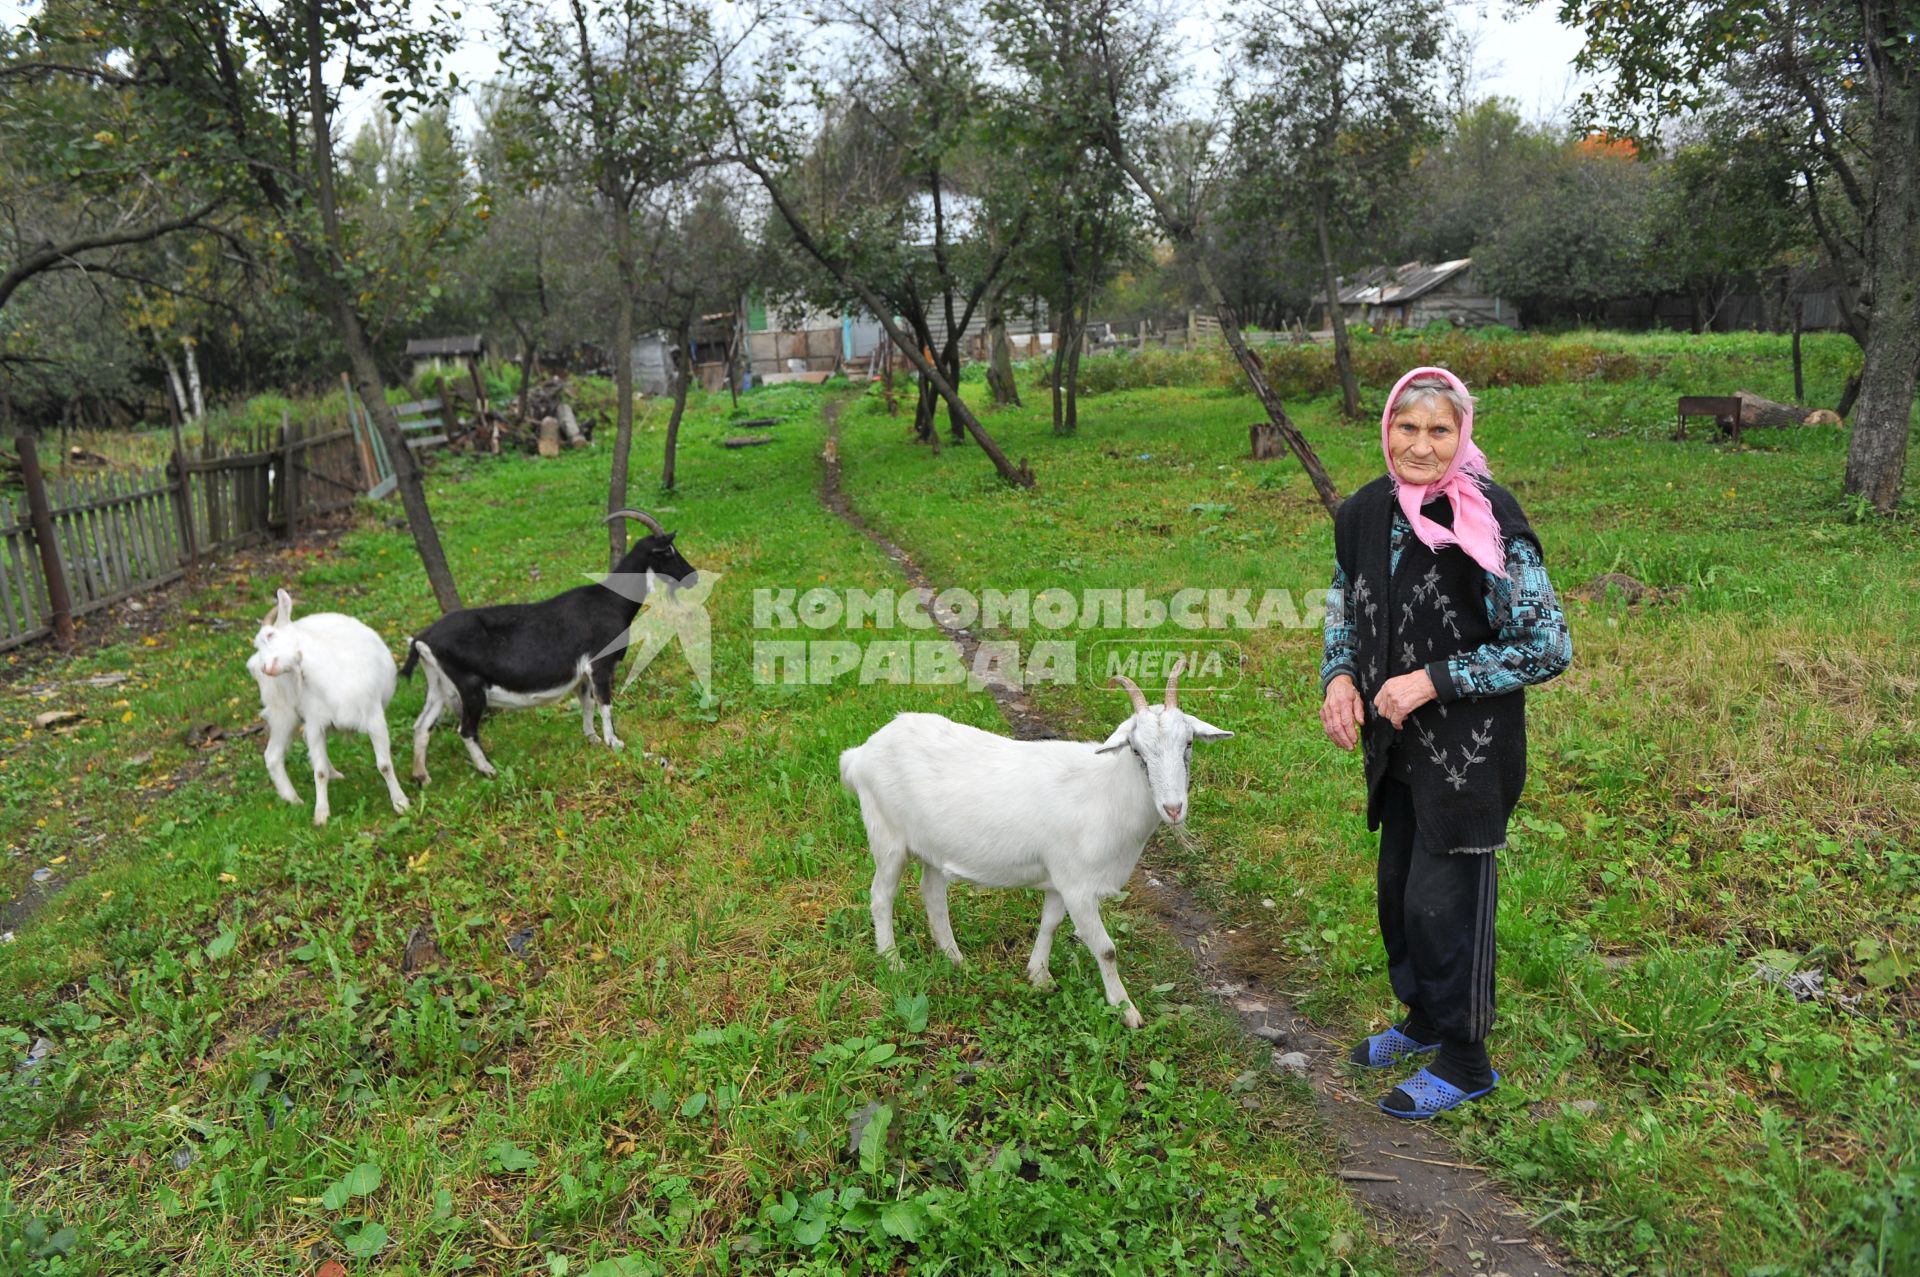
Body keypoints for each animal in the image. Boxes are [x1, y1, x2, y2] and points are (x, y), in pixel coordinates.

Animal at [247, 591, 412, 825]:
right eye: (257, 644)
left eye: (270, 635)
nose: (264, 667)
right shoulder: (316, 723)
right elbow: (319, 772)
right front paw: (321, 814)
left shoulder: (374, 717)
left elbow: (384, 765)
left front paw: (400, 803)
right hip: (283, 712)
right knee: (272, 755)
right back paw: (293, 799)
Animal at [401, 506, 702, 775]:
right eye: (669, 551)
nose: (693, 577)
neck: (611, 601)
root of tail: (423, 638)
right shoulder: (600, 665)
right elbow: (605, 703)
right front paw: (614, 741)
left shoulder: (583, 673)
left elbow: (587, 703)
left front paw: (591, 738)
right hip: (470, 686)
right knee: (466, 730)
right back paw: (488, 770)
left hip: (439, 683)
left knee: (422, 726)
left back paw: (421, 777)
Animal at [840, 656, 1228, 1029]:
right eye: (1136, 750)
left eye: (1189, 743)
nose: (1173, 808)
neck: (1106, 792)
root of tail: (860, 753)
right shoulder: (1078, 886)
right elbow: (1106, 949)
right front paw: (1126, 1010)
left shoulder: (1060, 879)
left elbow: (1050, 924)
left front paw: (1039, 976)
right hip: (887, 835)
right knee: (882, 895)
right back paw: (893, 962)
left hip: (933, 846)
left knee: (933, 894)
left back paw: (955, 958)